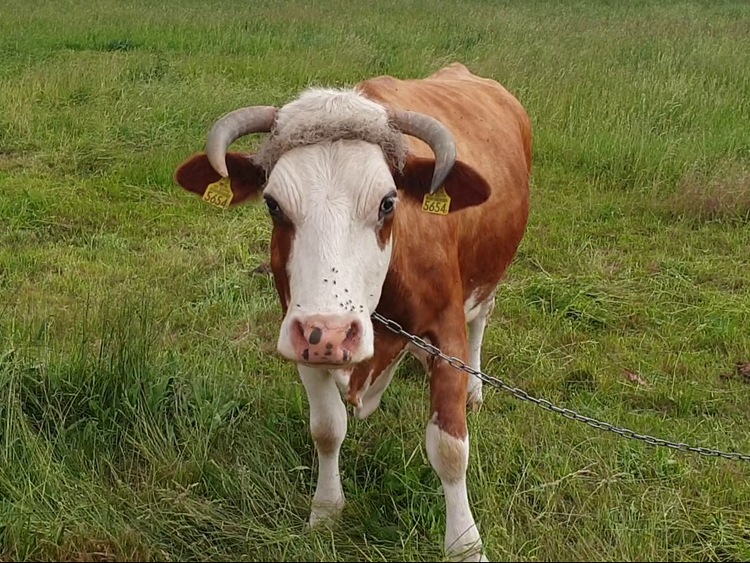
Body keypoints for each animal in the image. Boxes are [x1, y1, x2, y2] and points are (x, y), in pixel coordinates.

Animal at [173, 64, 532, 560]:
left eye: (387, 202)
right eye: (273, 204)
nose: (333, 332)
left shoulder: (447, 333)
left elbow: (450, 449)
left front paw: (465, 544)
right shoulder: (303, 338)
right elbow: (327, 428)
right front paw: (325, 511)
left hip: (491, 276)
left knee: (483, 317)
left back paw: (476, 388)